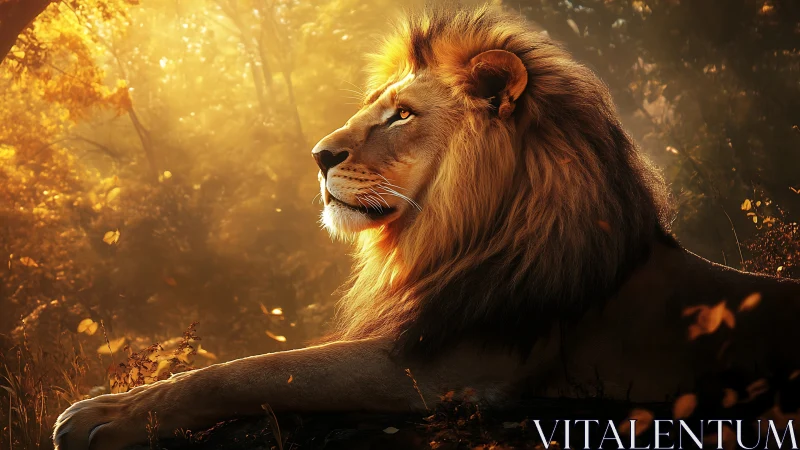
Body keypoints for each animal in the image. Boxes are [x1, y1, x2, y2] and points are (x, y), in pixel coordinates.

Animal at [54, 5, 800, 449]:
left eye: (402, 115)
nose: (318, 155)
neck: (454, 234)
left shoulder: (442, 369)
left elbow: (253, 371)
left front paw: (102, 415)